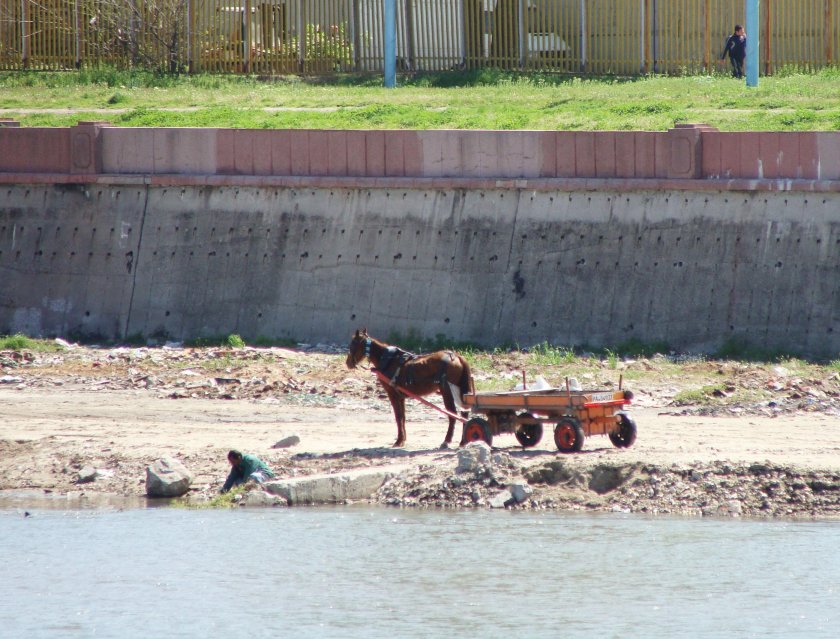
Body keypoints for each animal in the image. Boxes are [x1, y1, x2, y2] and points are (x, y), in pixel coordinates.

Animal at [346, 330, 476, 450]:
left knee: (453, 415)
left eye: (352, 345)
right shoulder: (401, 395)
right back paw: (463, 442)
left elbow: (398, 417)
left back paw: (447, 441)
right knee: (464, 413)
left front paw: (398, 441)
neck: (389, 360)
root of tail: (457, 357)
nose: (348, 363)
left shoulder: (392, 394)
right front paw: (402, 439)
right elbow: (402, 417)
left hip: (447, 391)